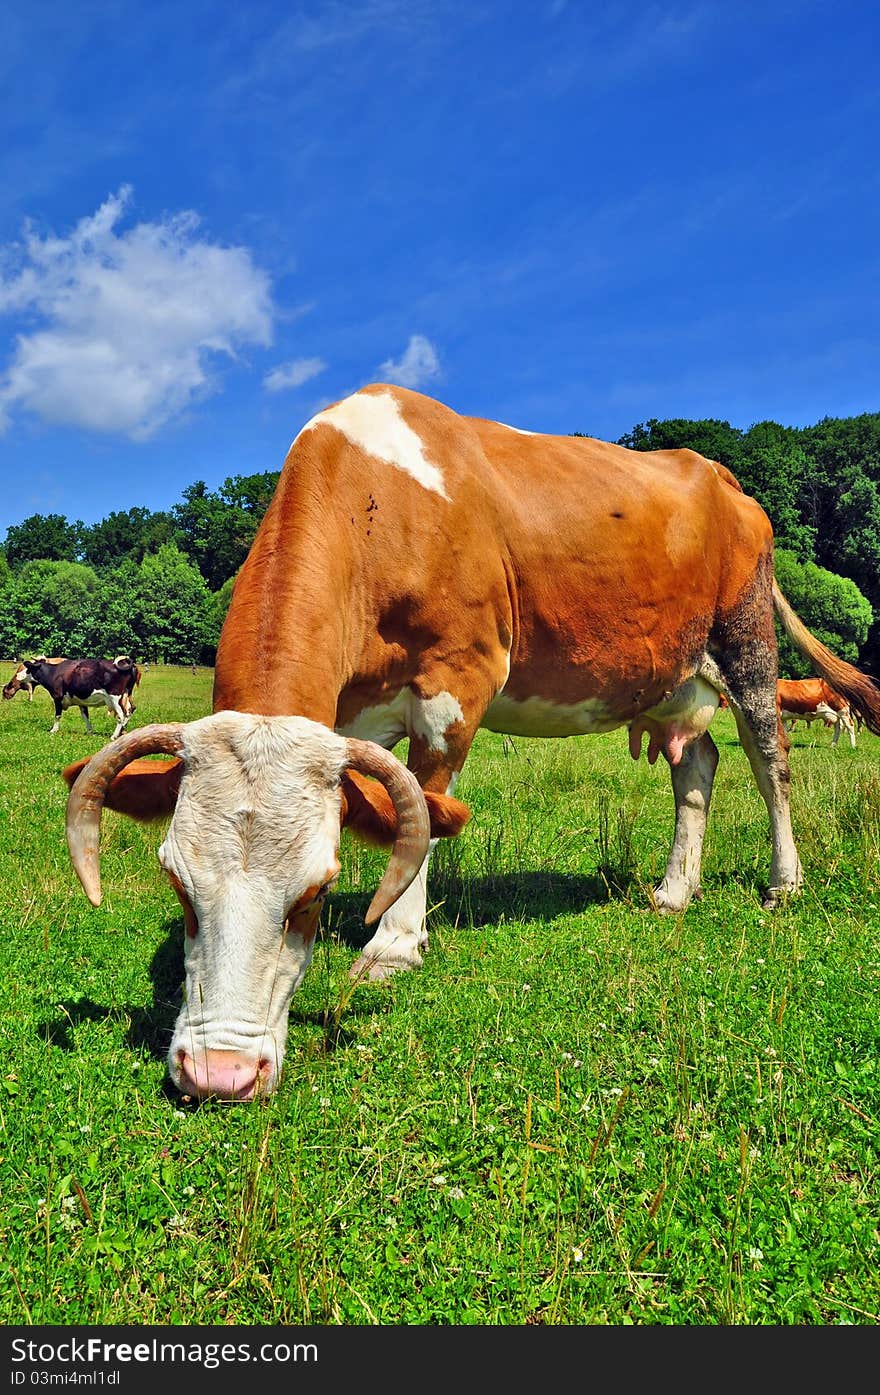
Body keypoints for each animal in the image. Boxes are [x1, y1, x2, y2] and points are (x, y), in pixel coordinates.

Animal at [60, 385, 880, 1099]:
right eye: (176, 880)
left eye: (317, 889)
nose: (218, 1075)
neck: (375, 504)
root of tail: (716, 472)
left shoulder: (458, 680)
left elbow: (424, 807)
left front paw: (393, 945)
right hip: (672, 674)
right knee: (697, 765)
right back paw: (675, 890)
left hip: (746, 641)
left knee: (769, 759)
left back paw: (783, 881)